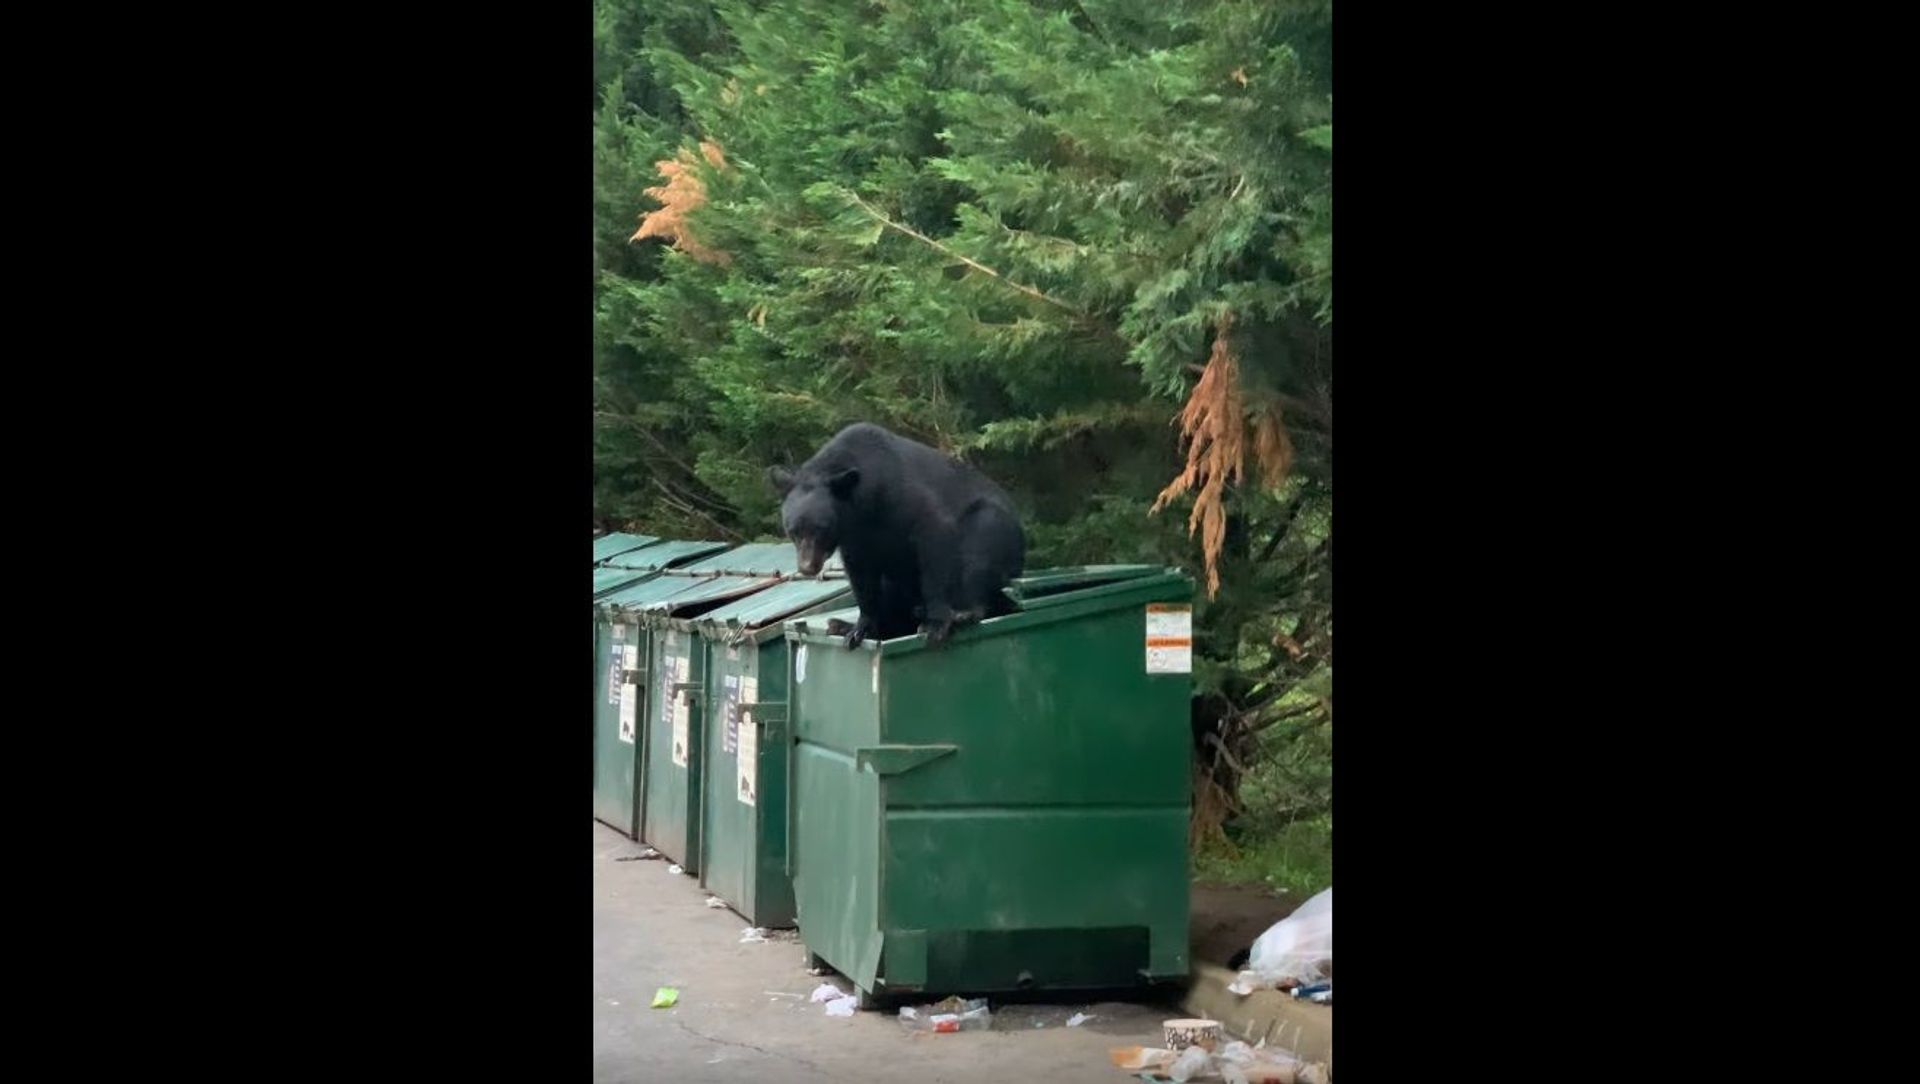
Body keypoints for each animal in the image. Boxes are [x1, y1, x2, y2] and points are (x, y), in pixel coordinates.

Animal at [769, 422, 1026, 649]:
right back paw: (841, 624)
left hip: (996, 527)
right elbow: (861, 576)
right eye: (793, 530)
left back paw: (963, 612)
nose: (807, 567)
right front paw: (860, 628)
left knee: (980, 546)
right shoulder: (856, 537)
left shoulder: (907, 497)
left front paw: (936, 623)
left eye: (821, 528)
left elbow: (935, 539)